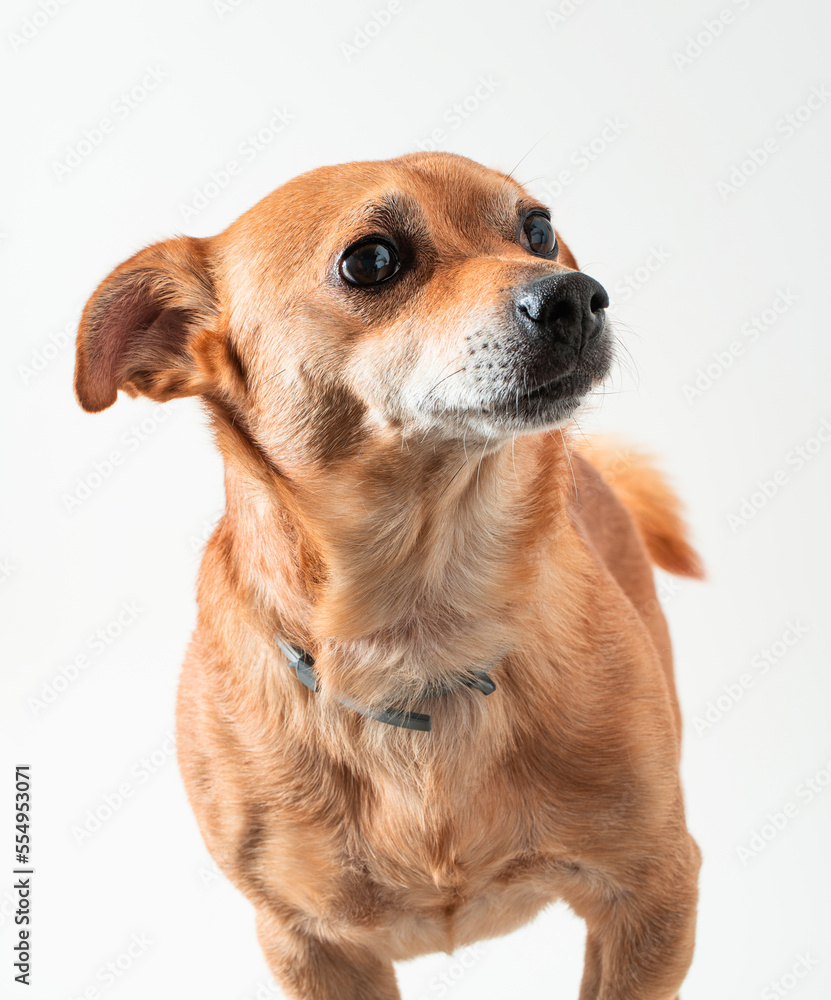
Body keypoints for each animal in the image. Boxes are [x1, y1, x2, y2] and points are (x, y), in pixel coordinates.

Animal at [75, 150, 704, 1000]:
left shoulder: (653, 894)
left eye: (537, 231)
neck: (419, 632)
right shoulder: (310, 945)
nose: (574, 293)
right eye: (370, 261)